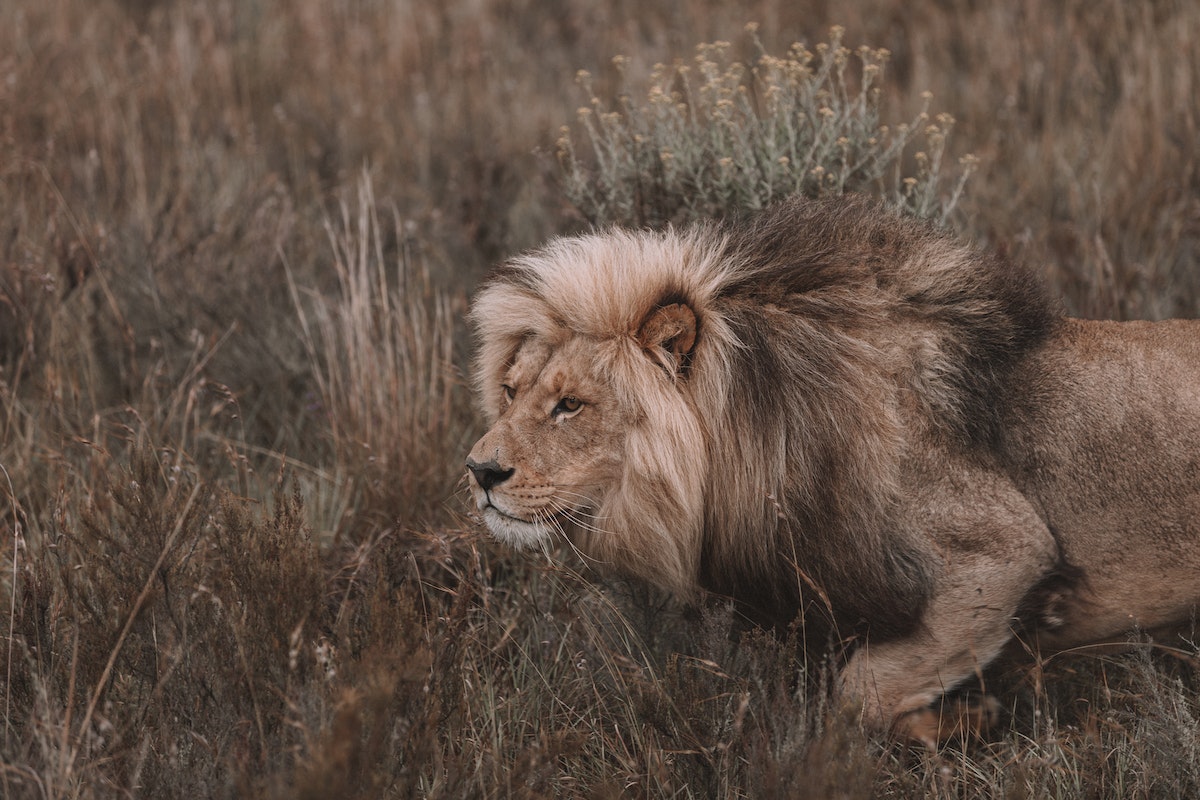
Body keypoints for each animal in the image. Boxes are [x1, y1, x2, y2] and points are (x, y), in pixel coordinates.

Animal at [460, 194, 1200, 743]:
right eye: (510, 391)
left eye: (570, 405)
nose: (479, 471)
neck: (757, 429)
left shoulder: (1003, 554)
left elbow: (858, 693)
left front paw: (969, 721)